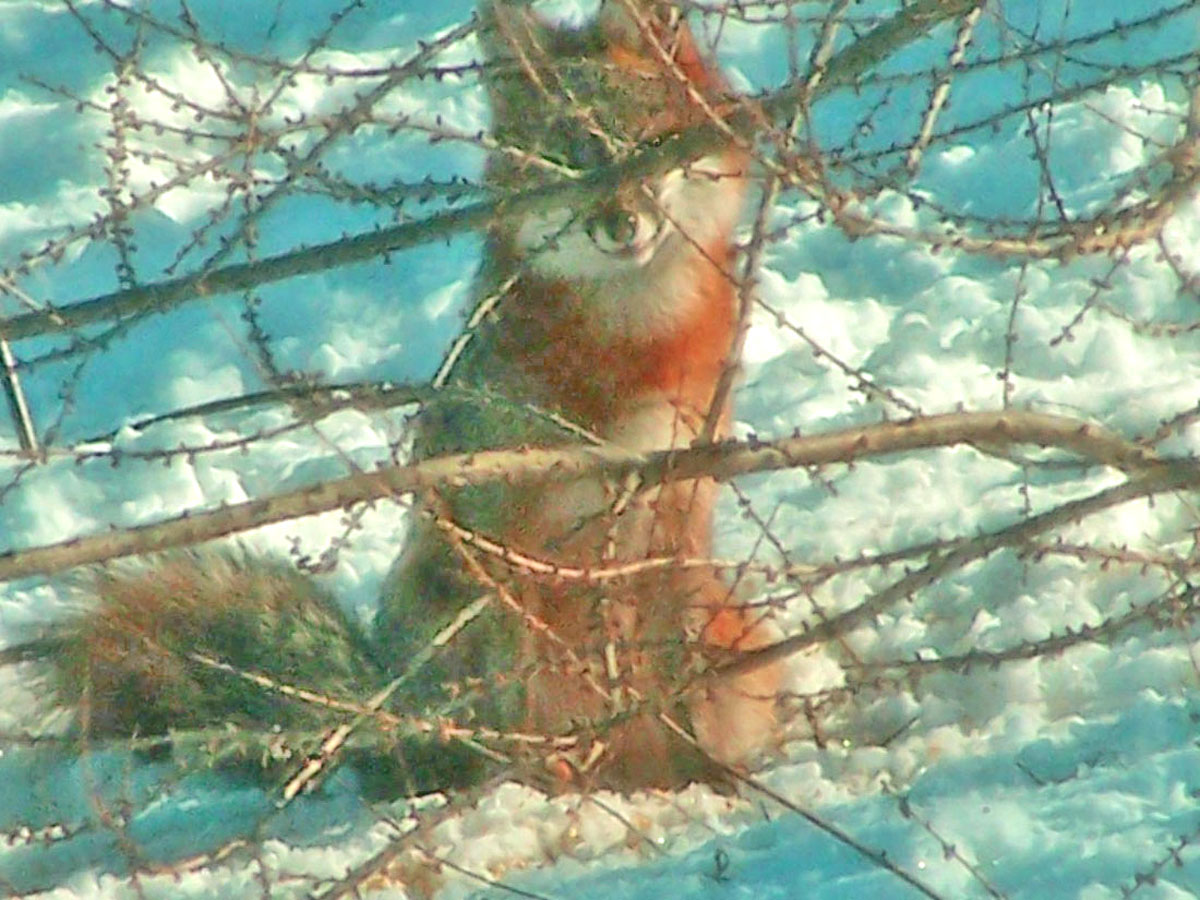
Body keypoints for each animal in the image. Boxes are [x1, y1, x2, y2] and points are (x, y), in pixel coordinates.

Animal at [6, 0, 783, 797]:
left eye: (648, 147)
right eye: (563, 159)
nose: (619, 223)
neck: (632, 347)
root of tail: (382, 706)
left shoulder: (672, 520)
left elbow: (670, 676)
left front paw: (699, 771)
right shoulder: (511, 545)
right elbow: (540, 686)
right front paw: (557, 773)